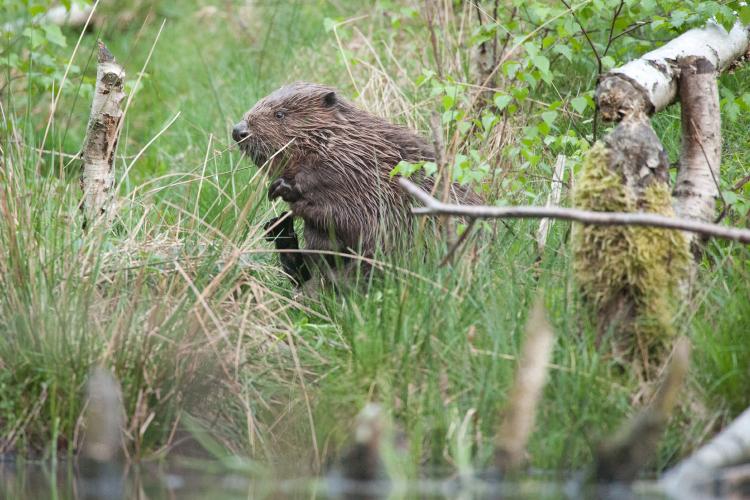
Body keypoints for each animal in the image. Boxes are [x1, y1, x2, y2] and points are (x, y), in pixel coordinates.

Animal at [234, 82, 482, 286]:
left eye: (280, 114)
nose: (238, 130)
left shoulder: (361, 177)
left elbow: (356, 222)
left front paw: (283, 190)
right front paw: (277, 216)